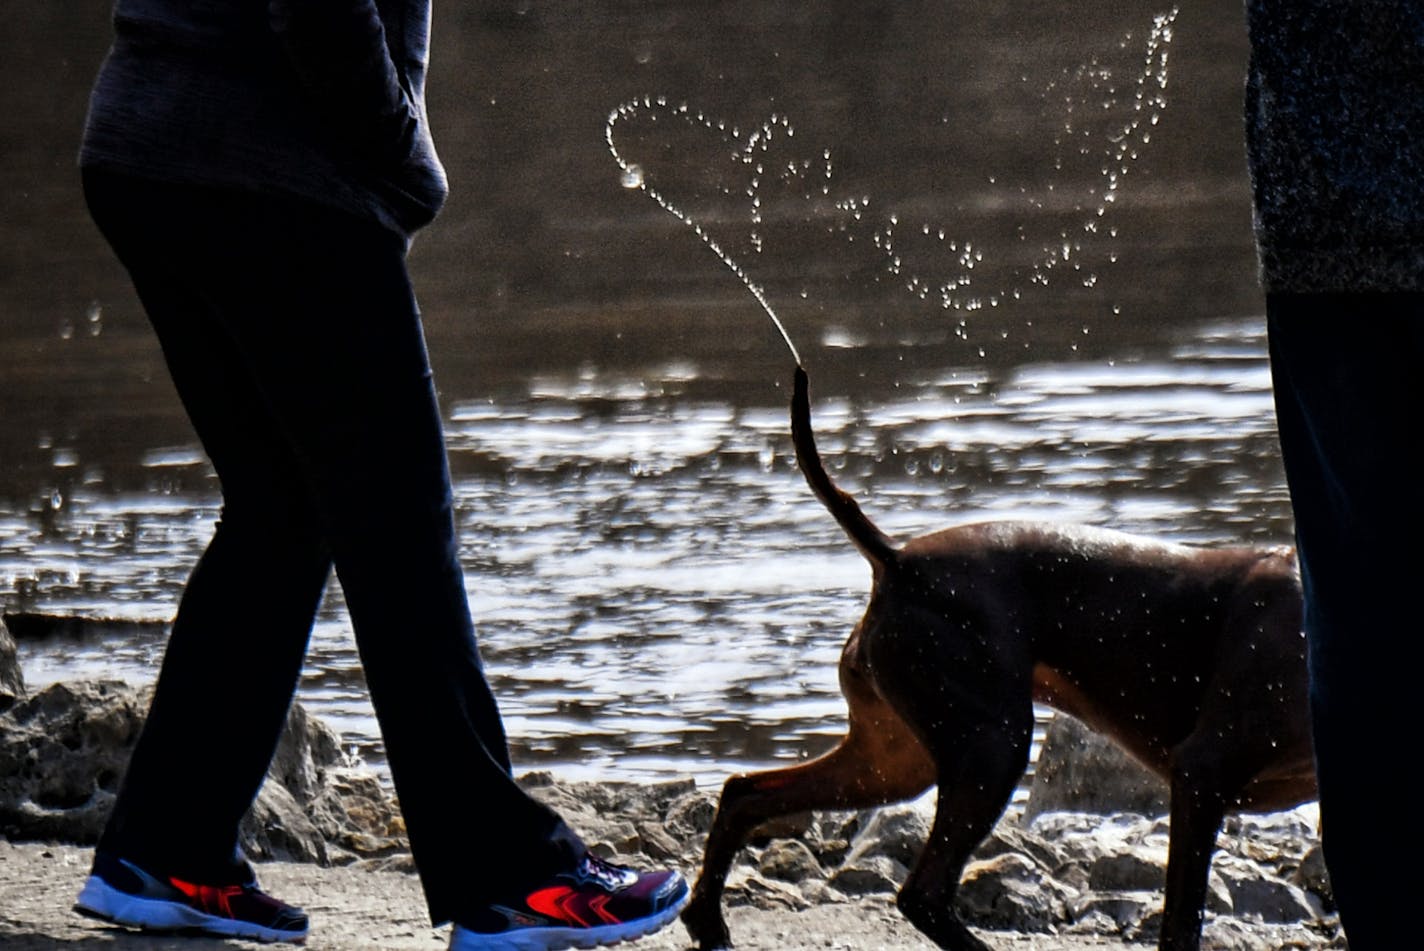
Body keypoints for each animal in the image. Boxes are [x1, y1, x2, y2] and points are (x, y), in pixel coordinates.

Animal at [683, 367, 1315, 951]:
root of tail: (897, 561)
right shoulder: (1201, 776)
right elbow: (1182, 926)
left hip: (893, 761)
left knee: (745, 792)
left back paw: (708, 921)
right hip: (992, 744)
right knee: (922, 893)